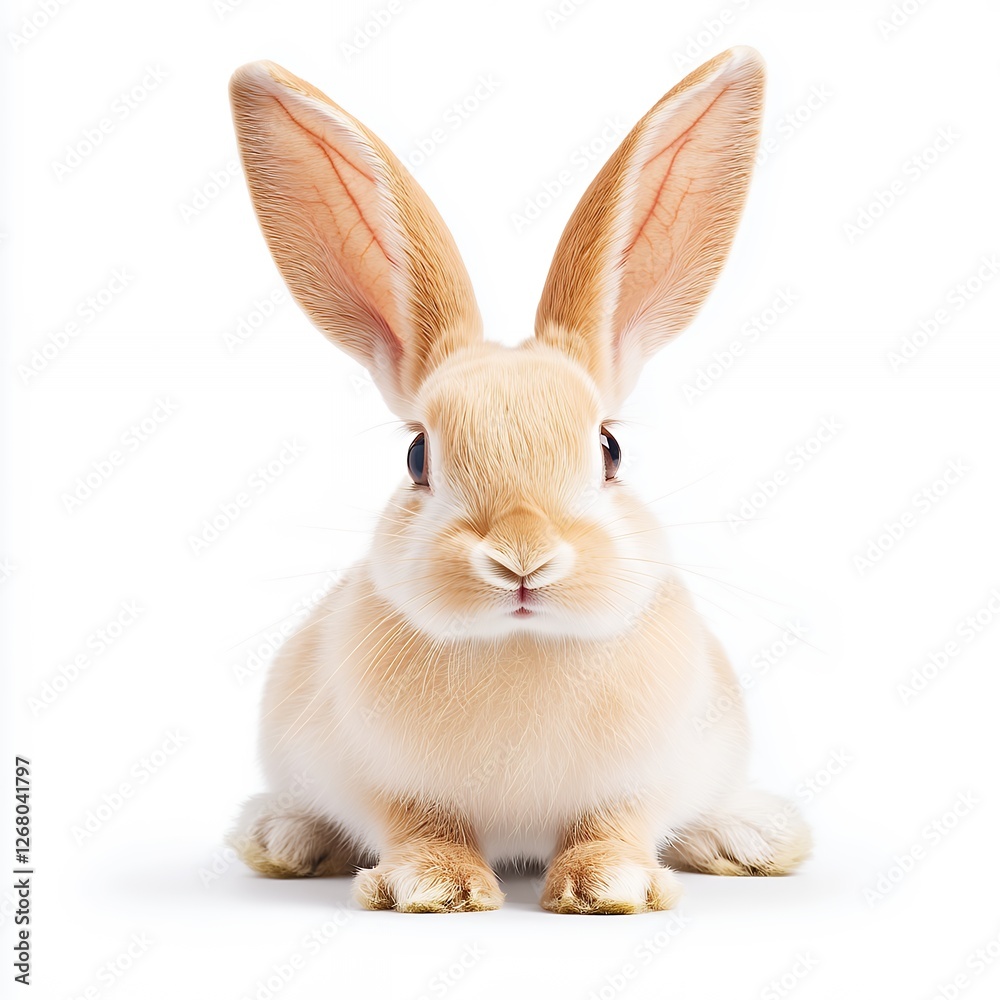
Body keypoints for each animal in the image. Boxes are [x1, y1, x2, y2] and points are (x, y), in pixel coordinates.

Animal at [226, 46, 811, 914]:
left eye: (609, 449)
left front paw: (609, 886)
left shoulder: (645, 776)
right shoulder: (382, 778)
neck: (520, 646)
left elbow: (617, 823)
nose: (523, 557)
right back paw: (281, 838)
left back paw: (753, 838)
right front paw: (432, 887)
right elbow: (419, 822)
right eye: (417, 458)